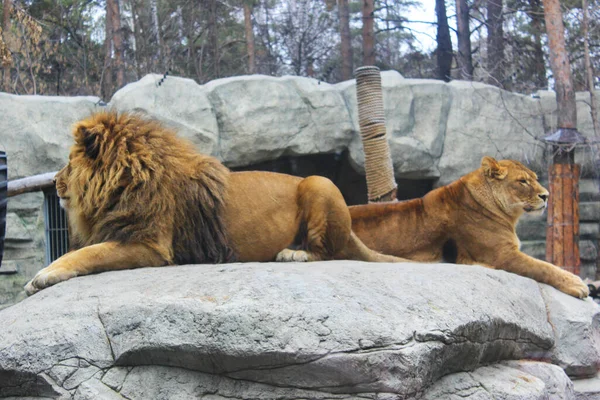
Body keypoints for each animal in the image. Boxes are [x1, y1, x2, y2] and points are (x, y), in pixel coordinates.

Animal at [24, 111, 408, 296]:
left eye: (68, 163)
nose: (53, 181)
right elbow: (84, 251)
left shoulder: (151, 244)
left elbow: (90, 253)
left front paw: (43, 276)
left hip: (319, 182)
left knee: (327, 251)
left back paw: (294, 253)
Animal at [350, 158, 588, 298]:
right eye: (522, 181)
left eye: (535, 179)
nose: (546, 196)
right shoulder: (502, 255)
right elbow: (543, 266)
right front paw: (577, 284)